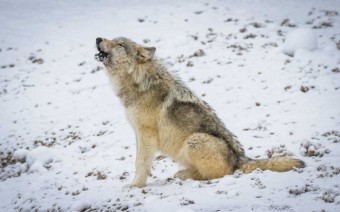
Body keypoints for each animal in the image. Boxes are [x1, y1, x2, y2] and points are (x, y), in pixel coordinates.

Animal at [94, 36, 304, 187]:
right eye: (112, 39)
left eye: (119, 44)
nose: (98, 38)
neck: (138, 83)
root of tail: (240, 159)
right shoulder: (138, 133)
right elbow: (137, 160)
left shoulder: (146, 133)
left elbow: (140, 163)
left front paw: (134, 186)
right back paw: (183, 174)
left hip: (194, 140)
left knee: (220, 174)